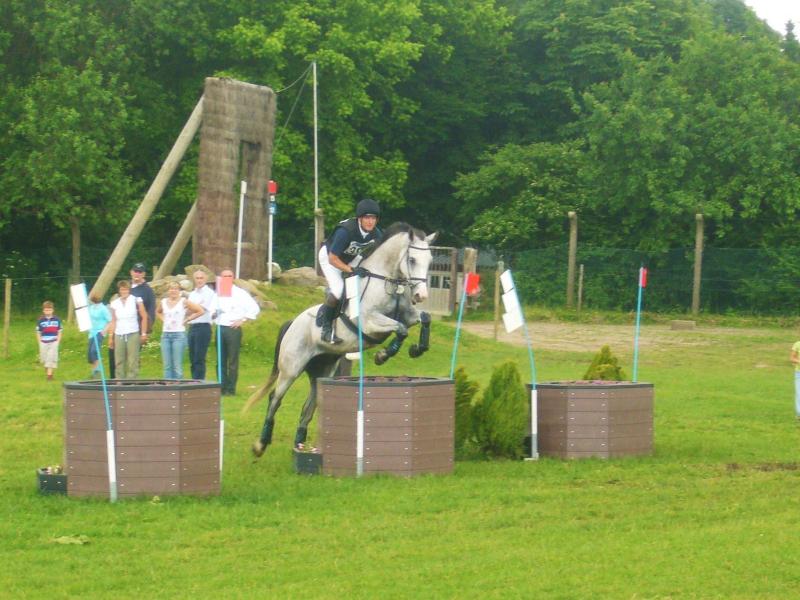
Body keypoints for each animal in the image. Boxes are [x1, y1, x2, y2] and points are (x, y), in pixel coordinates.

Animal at [244, 222, 437, 456]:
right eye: (412, 260)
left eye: (430, 261)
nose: (421, 296)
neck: (387, 281)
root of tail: (292, 323)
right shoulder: (369, 322)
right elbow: (401, 330)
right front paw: (383, 355)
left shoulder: (408, 316)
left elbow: (423, 319)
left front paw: (417, 349)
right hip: (291, 369)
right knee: (275, 398)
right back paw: (260, 444)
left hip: (322, 369)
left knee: (310, 404)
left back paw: (300, 444)